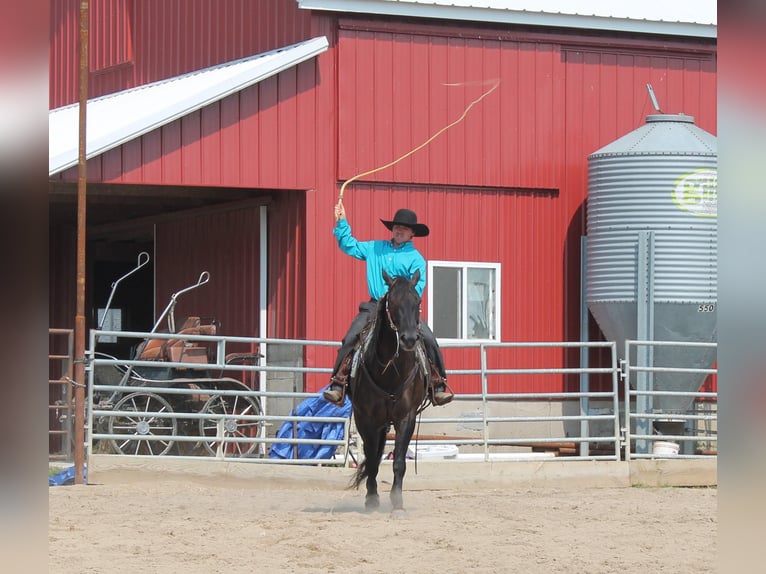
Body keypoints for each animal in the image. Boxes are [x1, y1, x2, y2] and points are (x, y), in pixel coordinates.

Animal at [350, 268, 428, 512]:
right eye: (392, 302)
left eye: (417, 301)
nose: (410, 338)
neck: (391, 373)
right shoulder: (365, 418)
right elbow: (372, 461)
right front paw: (372, 499)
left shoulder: (406, 417)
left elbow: (399, 462)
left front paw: (397, 502)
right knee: (372, 456)